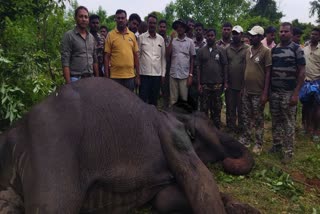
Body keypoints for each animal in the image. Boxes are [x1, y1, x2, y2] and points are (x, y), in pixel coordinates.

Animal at [0, 77, 256, 213]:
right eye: (210, 124)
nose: (229, 159)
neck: (167, 111)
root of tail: (14, 132)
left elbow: (165, 199)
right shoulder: (173, 135)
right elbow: (202, 185)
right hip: (52, 150)